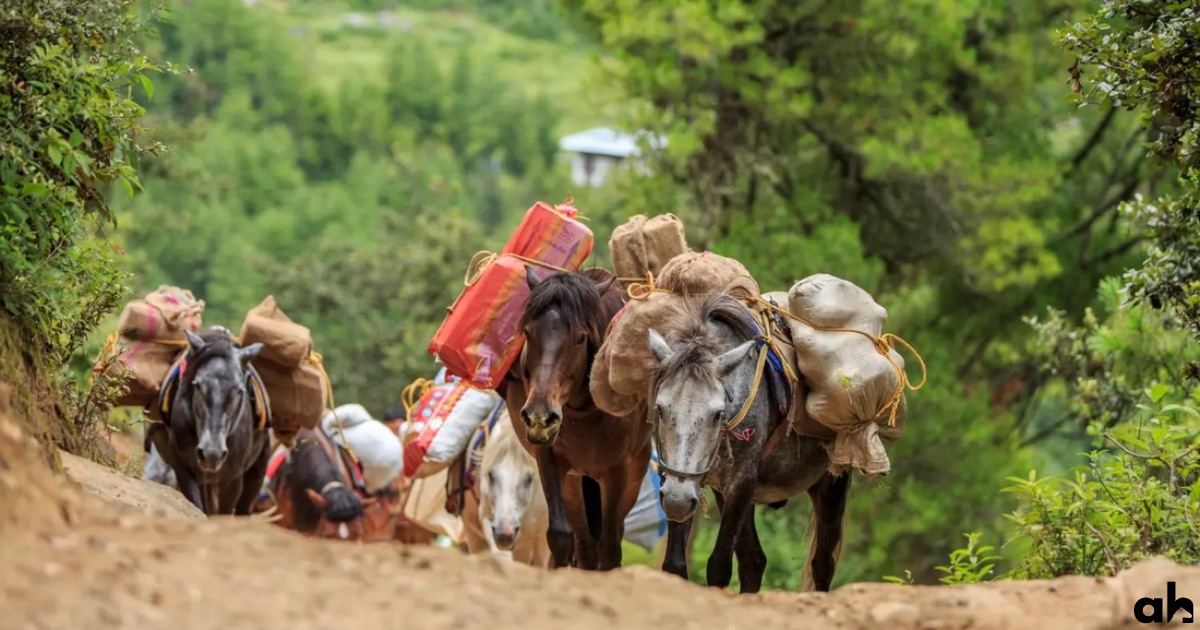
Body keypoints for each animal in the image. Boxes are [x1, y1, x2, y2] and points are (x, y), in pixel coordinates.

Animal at [146, 328, 273, 515]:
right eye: (197, 385)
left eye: (238, 390)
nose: (212, 453)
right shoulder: (185, 470)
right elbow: (197, 507)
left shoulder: (233, 478)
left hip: (258, 468)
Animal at [461, 408, 551, 567]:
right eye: (490, 475)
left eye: (529, 478)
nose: (505, 534)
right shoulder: (487, 518)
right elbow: (501, 557)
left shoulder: (543, 538)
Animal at [496, 265, 652, 571]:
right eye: (528, 332)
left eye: (580, 337)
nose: (539, 416)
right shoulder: (549, 458)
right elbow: (559, 536)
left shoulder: (617, 469)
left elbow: (611, 546)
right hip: (574, 482)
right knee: (584, 545)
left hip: (635, 472)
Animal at [646, 293, 851, 593]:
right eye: (660, 409)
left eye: (717, 414)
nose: (677, 501)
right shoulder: (679, 480)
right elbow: (674, 565)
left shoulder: (740, 484)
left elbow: (719, 566)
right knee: (754, 561)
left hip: (832, 483)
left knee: (823, 563)